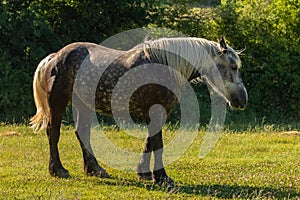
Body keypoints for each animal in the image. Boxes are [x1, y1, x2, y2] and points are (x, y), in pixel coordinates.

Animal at [30, 36, 247, 187]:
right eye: (232, 66)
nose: (242, 100)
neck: (166, 65)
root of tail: (55, 57)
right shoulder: (157, 112)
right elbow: (157, 144)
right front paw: (162, 178)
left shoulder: (156, 114)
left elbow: (150, 142)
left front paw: (144, 173)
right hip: (58, 102)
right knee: (53, 133)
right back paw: (58, 170)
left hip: (83, 104)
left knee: (82, 133)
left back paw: (95, 169)